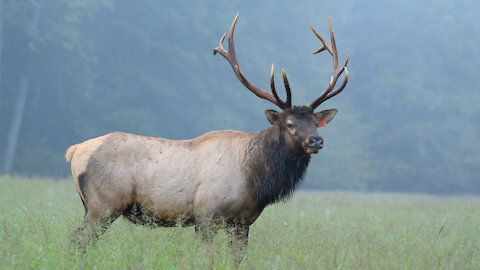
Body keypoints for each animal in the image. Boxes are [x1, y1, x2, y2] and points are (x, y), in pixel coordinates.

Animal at [65, 13, 348, 262]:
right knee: (76, 242)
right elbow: (207, 258)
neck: (256, 180)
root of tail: (75, 151)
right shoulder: (205, 215)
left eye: (316, 123)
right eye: (290, 124)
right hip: (103, 204)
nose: (316, 141)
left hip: (93, 205)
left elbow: (237, 259)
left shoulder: (242, 222)